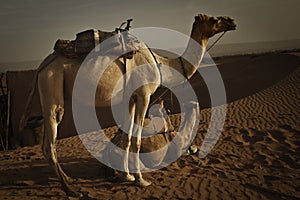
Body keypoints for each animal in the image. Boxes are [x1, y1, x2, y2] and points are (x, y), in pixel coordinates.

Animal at [20, 14, 237, 197]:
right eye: (214, 20)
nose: (232, 21)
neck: (161, 63)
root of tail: (42, 66)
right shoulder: (144, 95)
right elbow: (137, 140)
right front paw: (141, 180)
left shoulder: (130, 99)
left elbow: (127, 138)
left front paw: (128, 175)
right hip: (51, 86)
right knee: (49, 142)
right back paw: (70, 190)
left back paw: (69, 179)